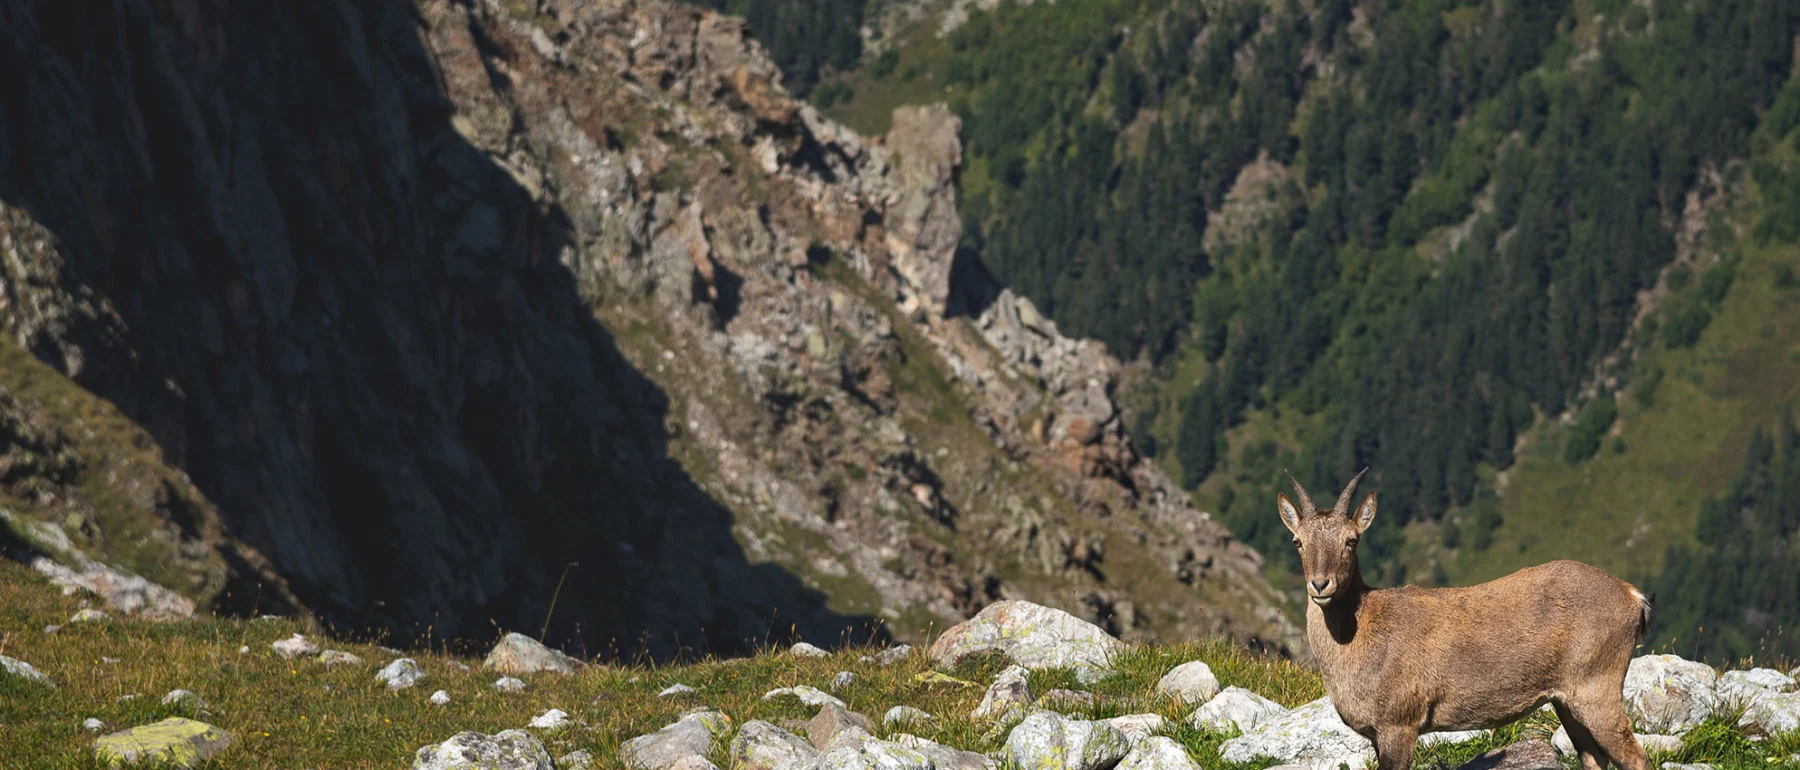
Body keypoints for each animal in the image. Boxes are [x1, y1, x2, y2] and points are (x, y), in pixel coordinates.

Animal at [1279, 469, 1652, 770]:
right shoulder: (1376, 733)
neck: (1360, 633)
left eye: (1351, 540)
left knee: (1635, 757)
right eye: (1297, 541)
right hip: (1566, 701)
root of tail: (1633, 597)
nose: (1321, 584)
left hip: (1596, 687)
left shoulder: (1399, 724)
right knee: (1594, 758)